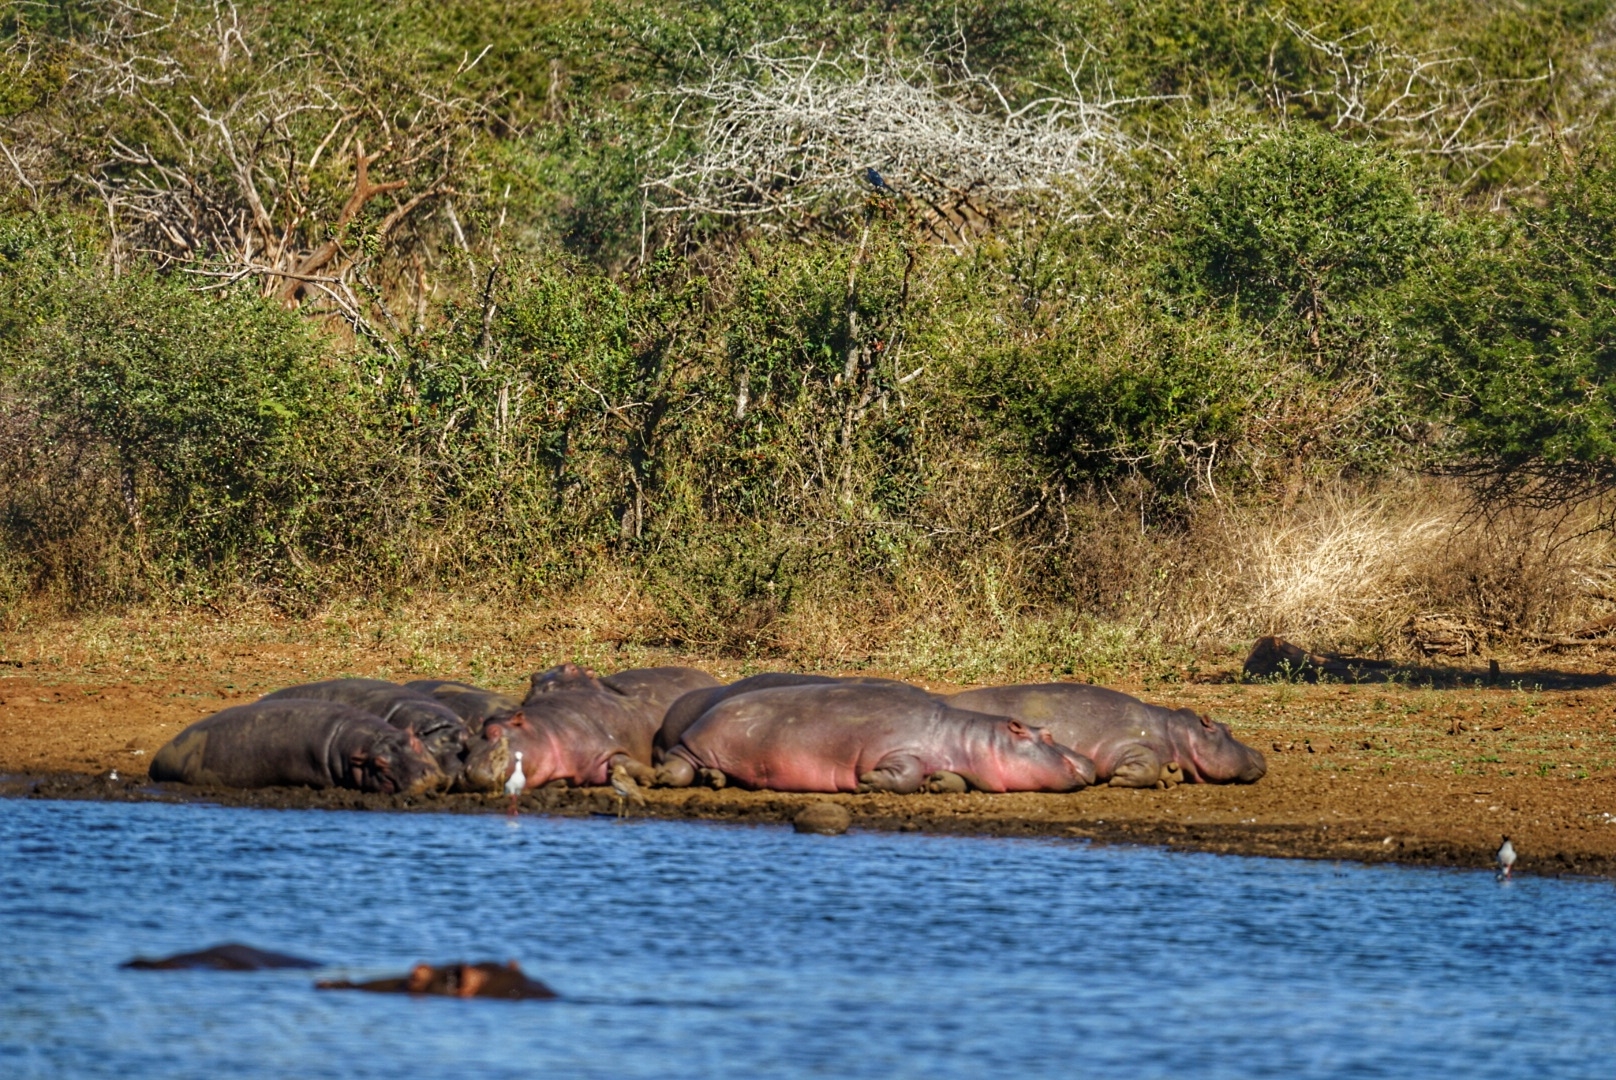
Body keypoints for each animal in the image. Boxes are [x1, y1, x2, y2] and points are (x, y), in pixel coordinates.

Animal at [943, 688, 1266, 788]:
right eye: (1228, 730)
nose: (1262, 753)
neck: (1178, 732)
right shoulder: (1123, 743)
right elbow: (1144, 760)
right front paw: (1122, 778)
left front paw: (1169, 777)